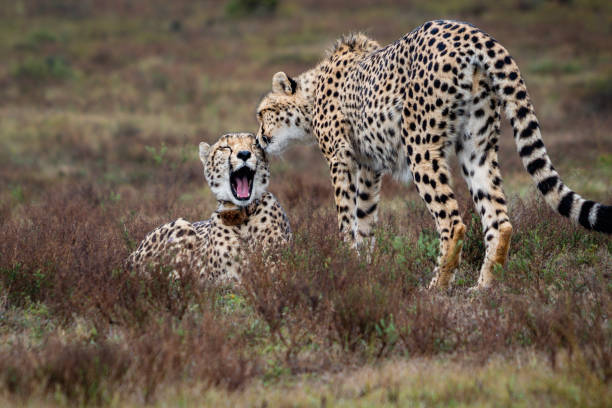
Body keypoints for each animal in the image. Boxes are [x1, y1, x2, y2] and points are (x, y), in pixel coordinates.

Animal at [124, 132, 292, 282]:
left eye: (255, 145)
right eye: (225, 147)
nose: (244, 154)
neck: (242, 216)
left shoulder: (278, 268)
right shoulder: (222, 279)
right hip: (182, 224)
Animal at [252, 20, 608, 292]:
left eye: (262, 113)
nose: (258, 139)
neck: (310, 97)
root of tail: (470, 31)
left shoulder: (341, 160)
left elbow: (345, 219)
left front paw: (345, 264)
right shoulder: (368, 168)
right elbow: (364, 220)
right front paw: (361, 270)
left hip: (420, 148)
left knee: (453, 222)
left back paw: (437, 285)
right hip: (476, 148)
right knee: (499, 219)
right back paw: (483, 287)